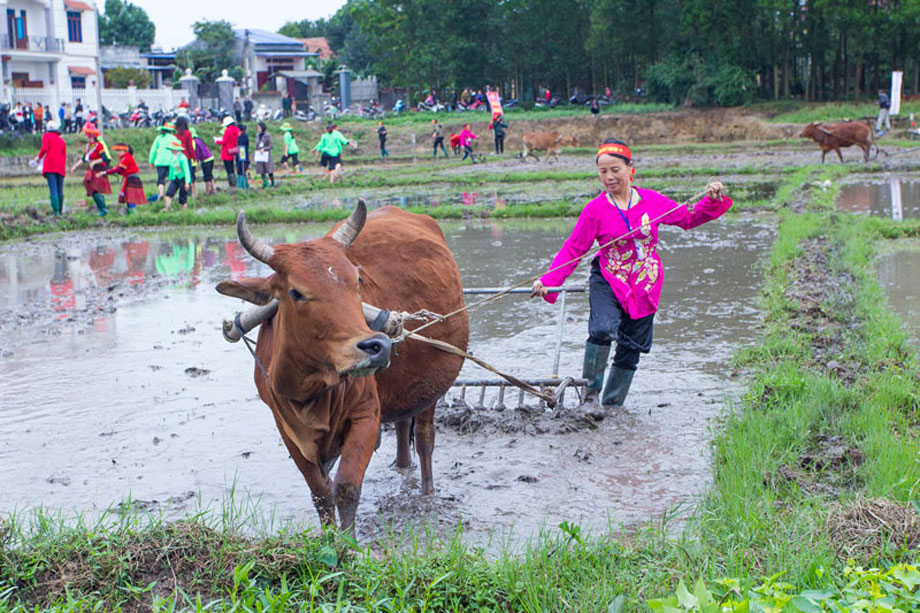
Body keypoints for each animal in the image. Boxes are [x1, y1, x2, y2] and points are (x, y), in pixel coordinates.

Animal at [217, 203, 468, 528]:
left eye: (356, 280)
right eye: (296, 292)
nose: (376, 347)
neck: (312, 391)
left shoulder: (366, 416)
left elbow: (346, 487)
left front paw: (348, 541)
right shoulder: (286, 428)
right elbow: (321, 494)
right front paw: (330, 537)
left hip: (431, 389)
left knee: (425, 440)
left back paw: (427, 494)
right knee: (403, 426)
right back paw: (401, 468)